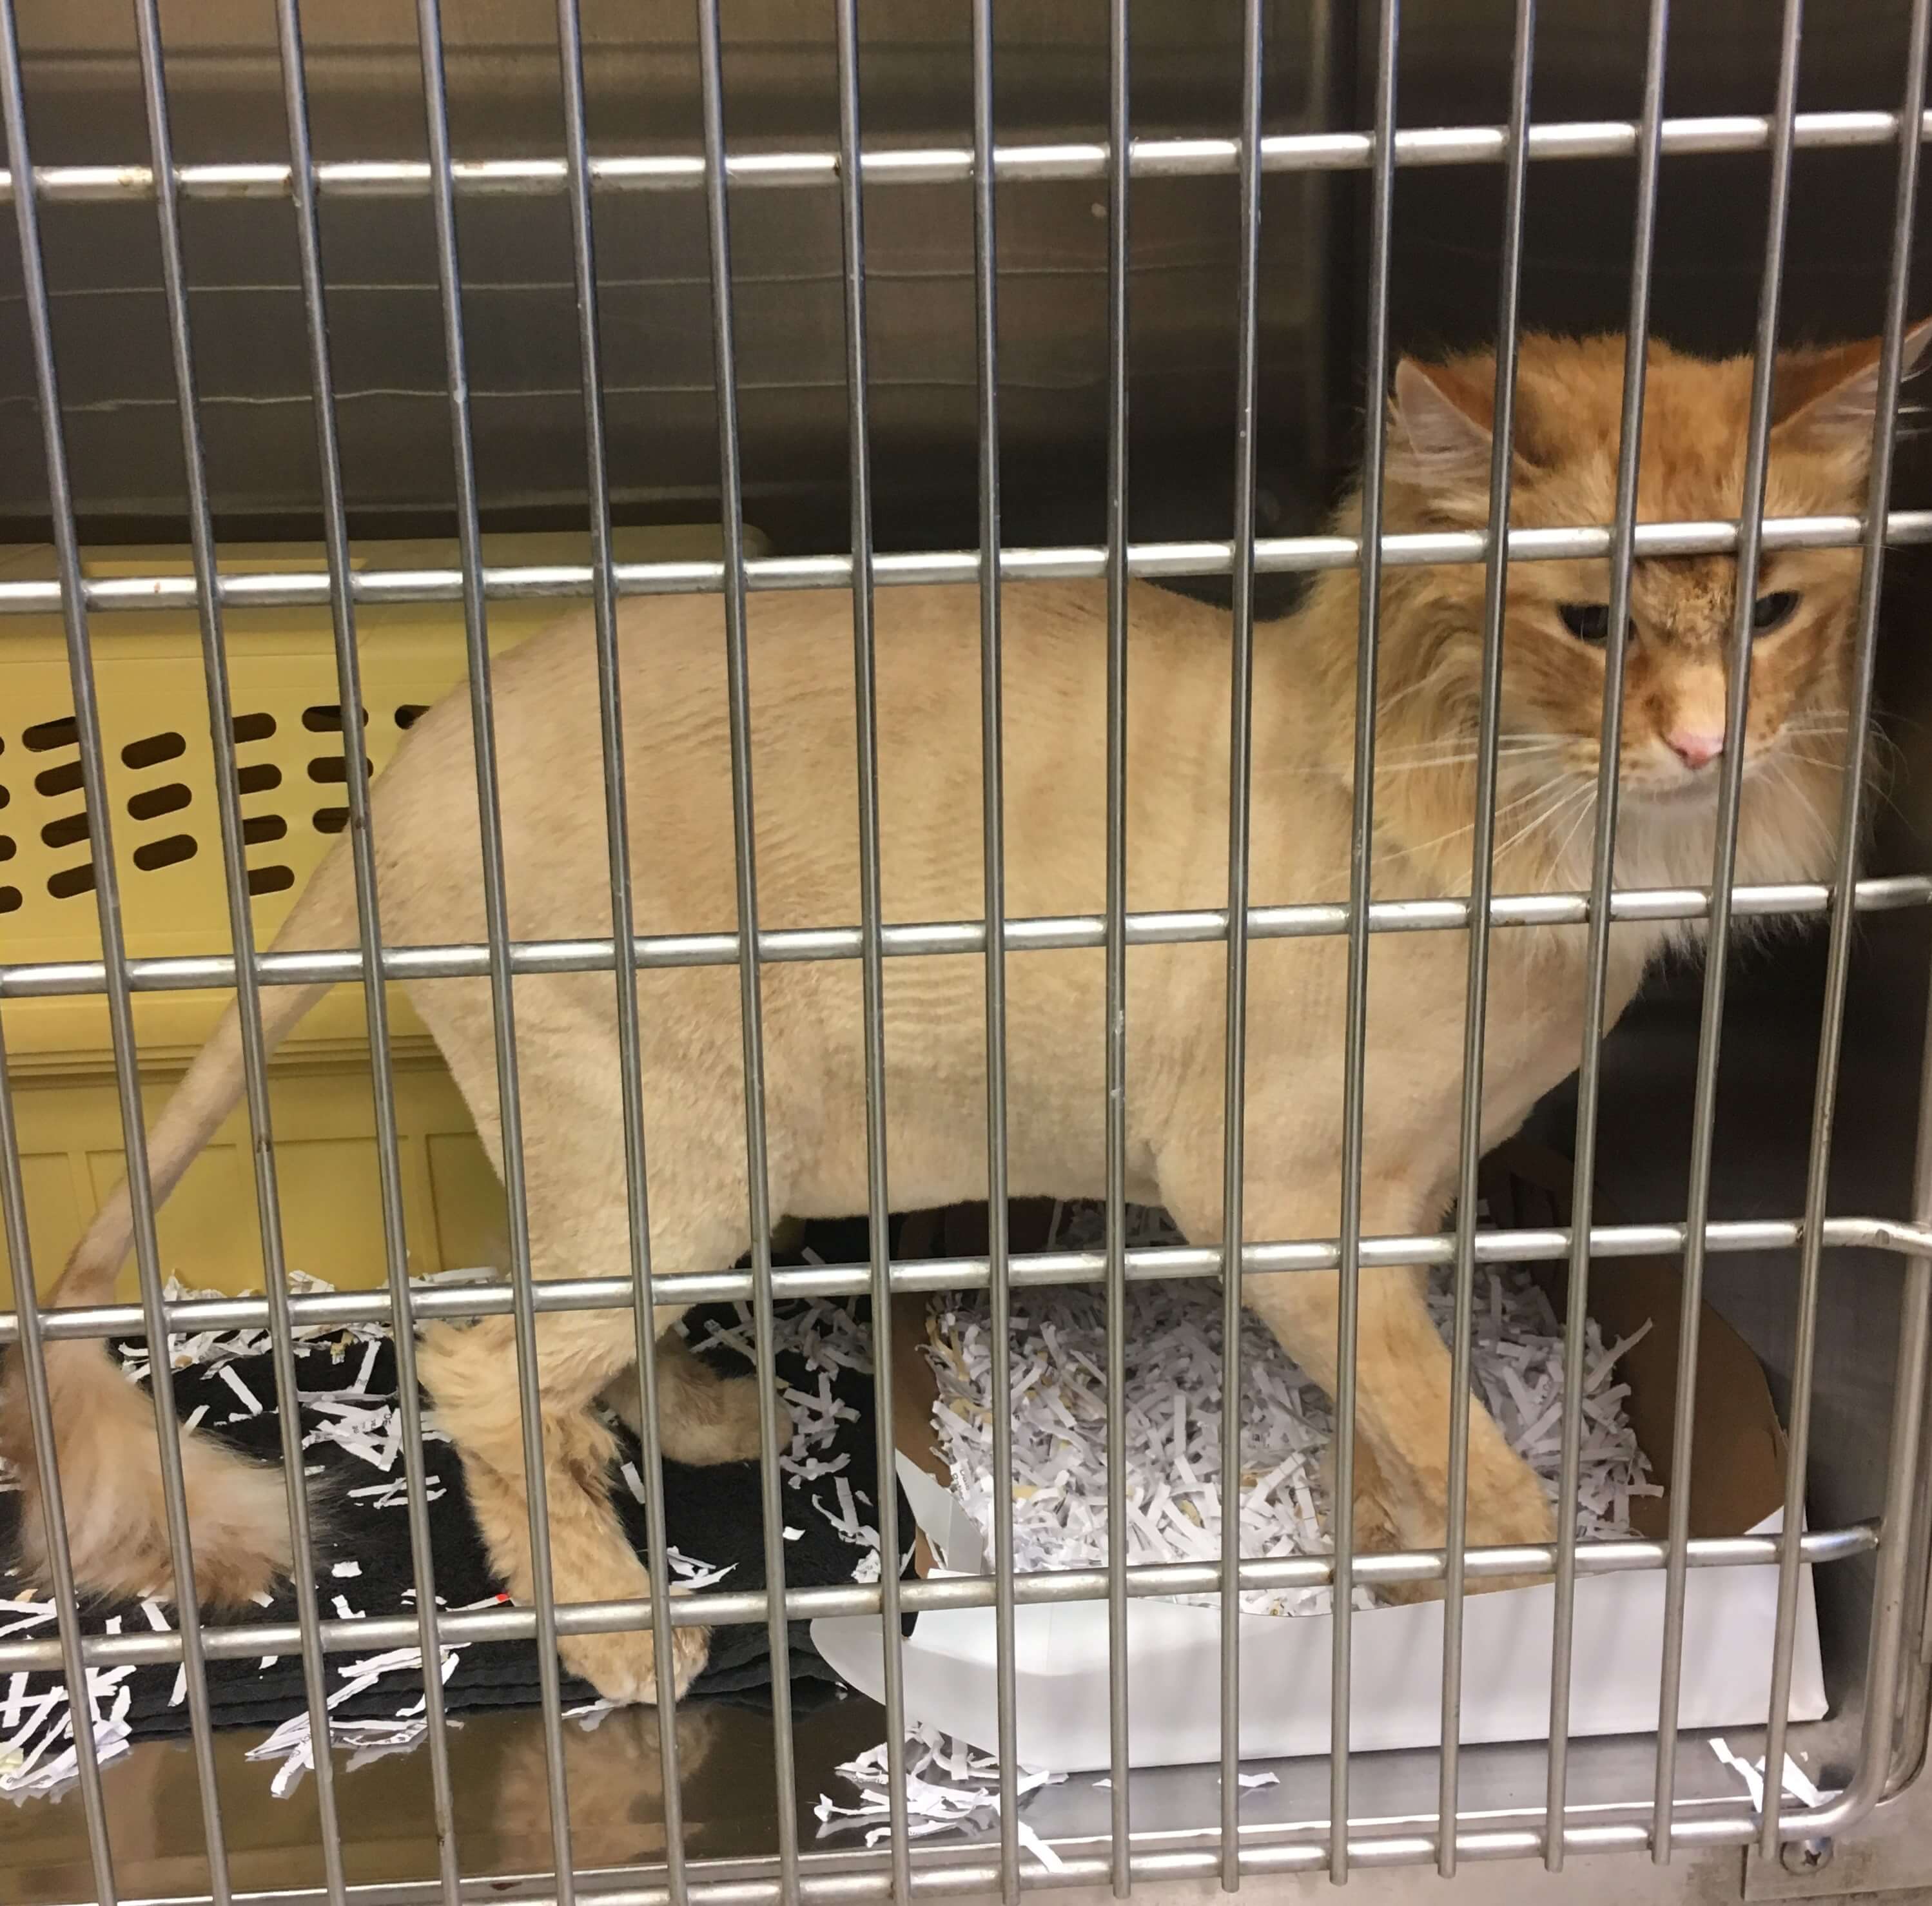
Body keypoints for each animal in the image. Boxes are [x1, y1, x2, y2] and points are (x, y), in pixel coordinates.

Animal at [3, 320, 1917, 1707]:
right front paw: (1513, 1577)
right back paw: (614, 1625)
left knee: (518, 1316)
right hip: (677, 1151)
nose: (1705, 741)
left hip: (621, 1153)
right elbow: (1452, 1429)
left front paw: (1398, 1540)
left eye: (1771, 611)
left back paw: (690, 1421)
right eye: (1587, 624)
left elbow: (1399, 1405)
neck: (1529, 839)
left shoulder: (1404, 1206)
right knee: (474, 1354)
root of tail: (412, 772)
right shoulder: (1273, 1202)